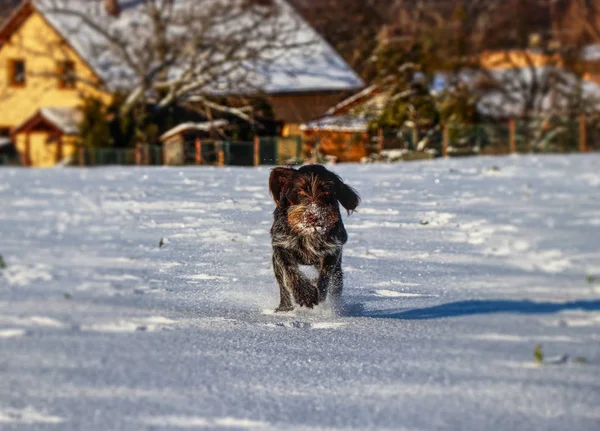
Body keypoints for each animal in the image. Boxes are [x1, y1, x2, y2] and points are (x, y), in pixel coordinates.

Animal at [268, 164, 360, 312]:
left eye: (327, 192)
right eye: (300, 190)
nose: (314, 216)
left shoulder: (333, 249)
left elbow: (325, 276)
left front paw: (318, 293)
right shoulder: (281, 245)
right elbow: (290, 271)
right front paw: (305, 295)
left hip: (338, 273)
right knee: (283, 285)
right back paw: (285, 308)